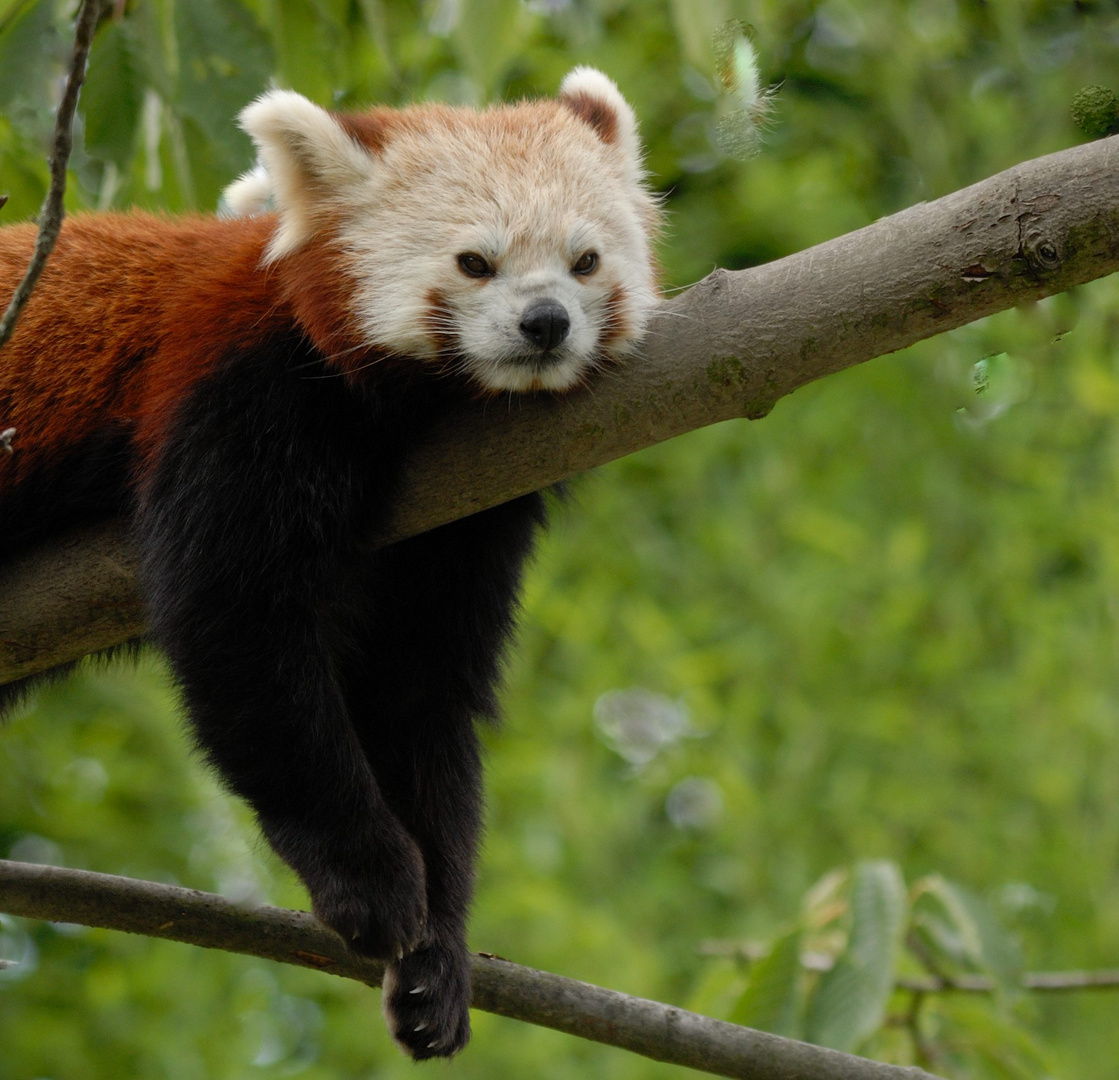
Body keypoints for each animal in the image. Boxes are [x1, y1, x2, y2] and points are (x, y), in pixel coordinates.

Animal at [0, 65, 657, 1052]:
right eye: (475, 263)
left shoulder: (467, 507)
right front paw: (370, 881)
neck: (420, 412)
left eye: (585, 262)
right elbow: (241, 635)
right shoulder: (240, 391)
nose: (546, 324)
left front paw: (436, 957)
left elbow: (416, 693)